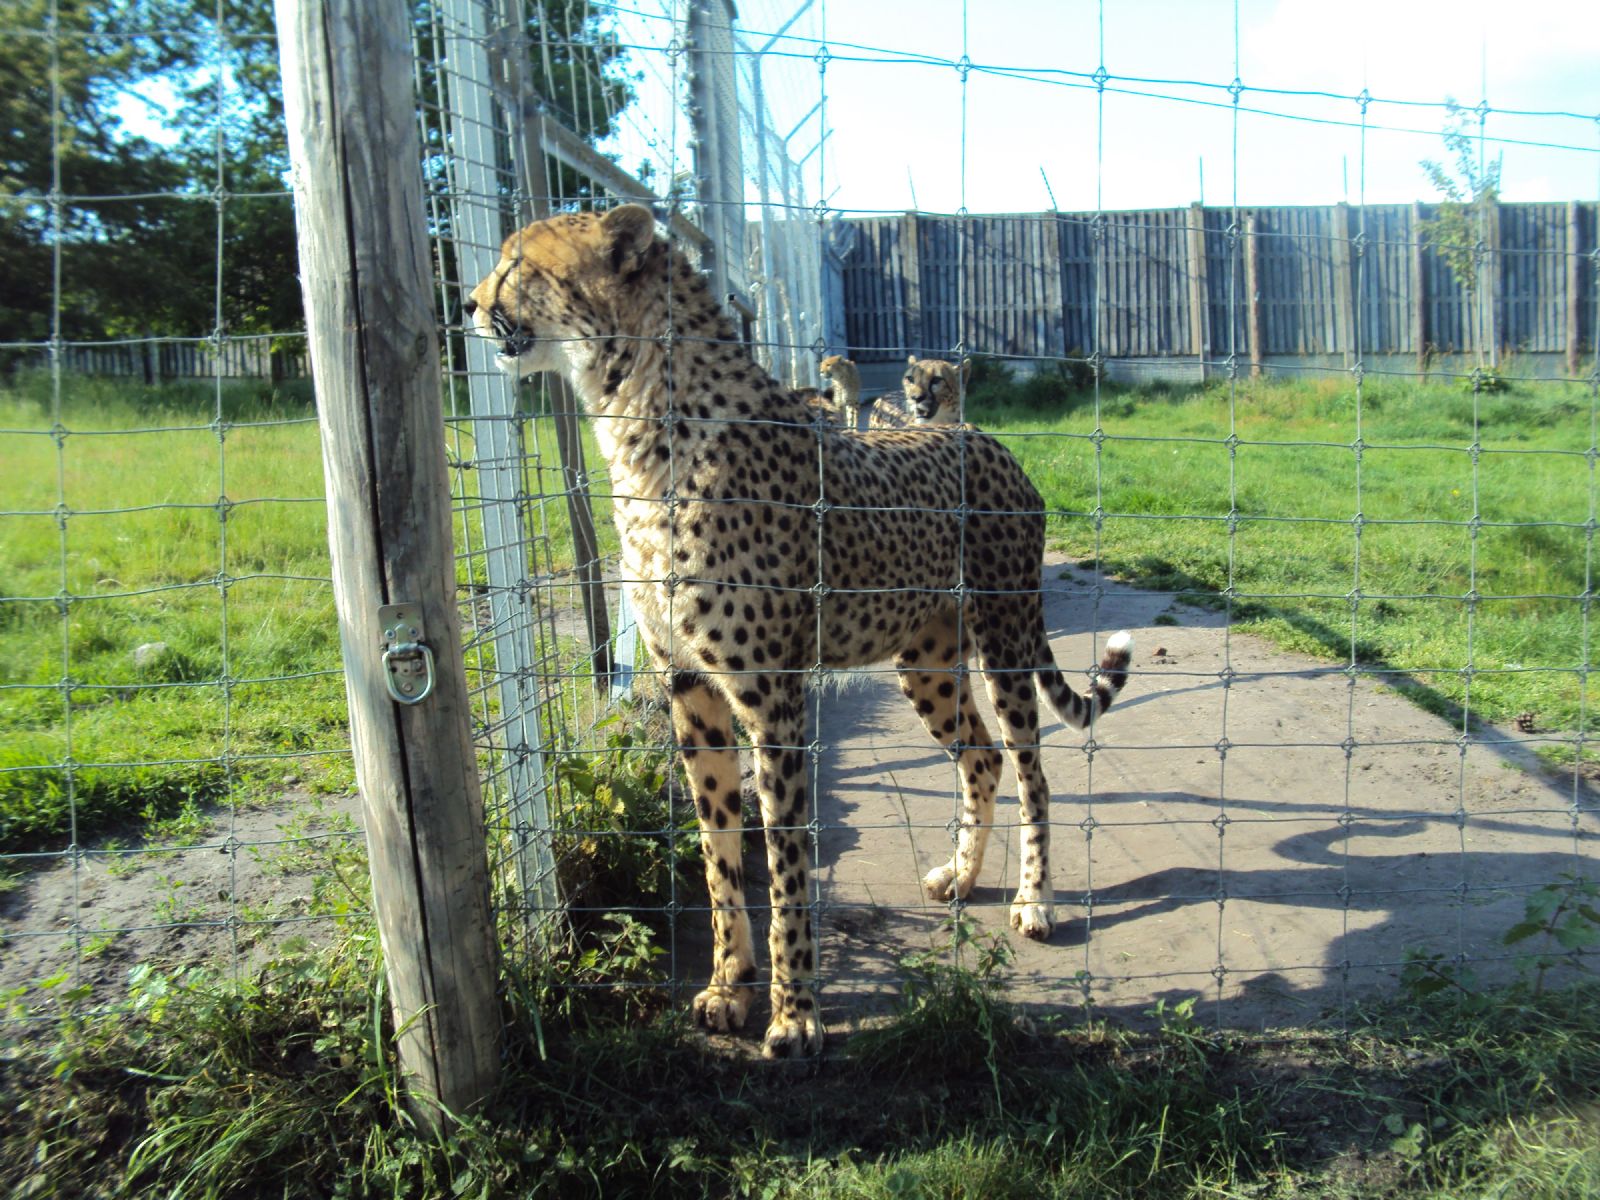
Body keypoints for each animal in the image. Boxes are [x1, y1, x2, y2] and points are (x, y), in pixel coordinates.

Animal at [467, 206, 1139, 1062]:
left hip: (1006, 636)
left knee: (1032, 770)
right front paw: (729, 986)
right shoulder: (691, 690)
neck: (643, 422)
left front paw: (796, 1015)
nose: (469, 303)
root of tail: (983, 437)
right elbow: (719, 852)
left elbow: (785, 863)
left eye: (518, 264)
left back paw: (1035, 902)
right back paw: (960, 876)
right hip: (925, 659)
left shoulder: (773, 698)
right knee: (981, 758)